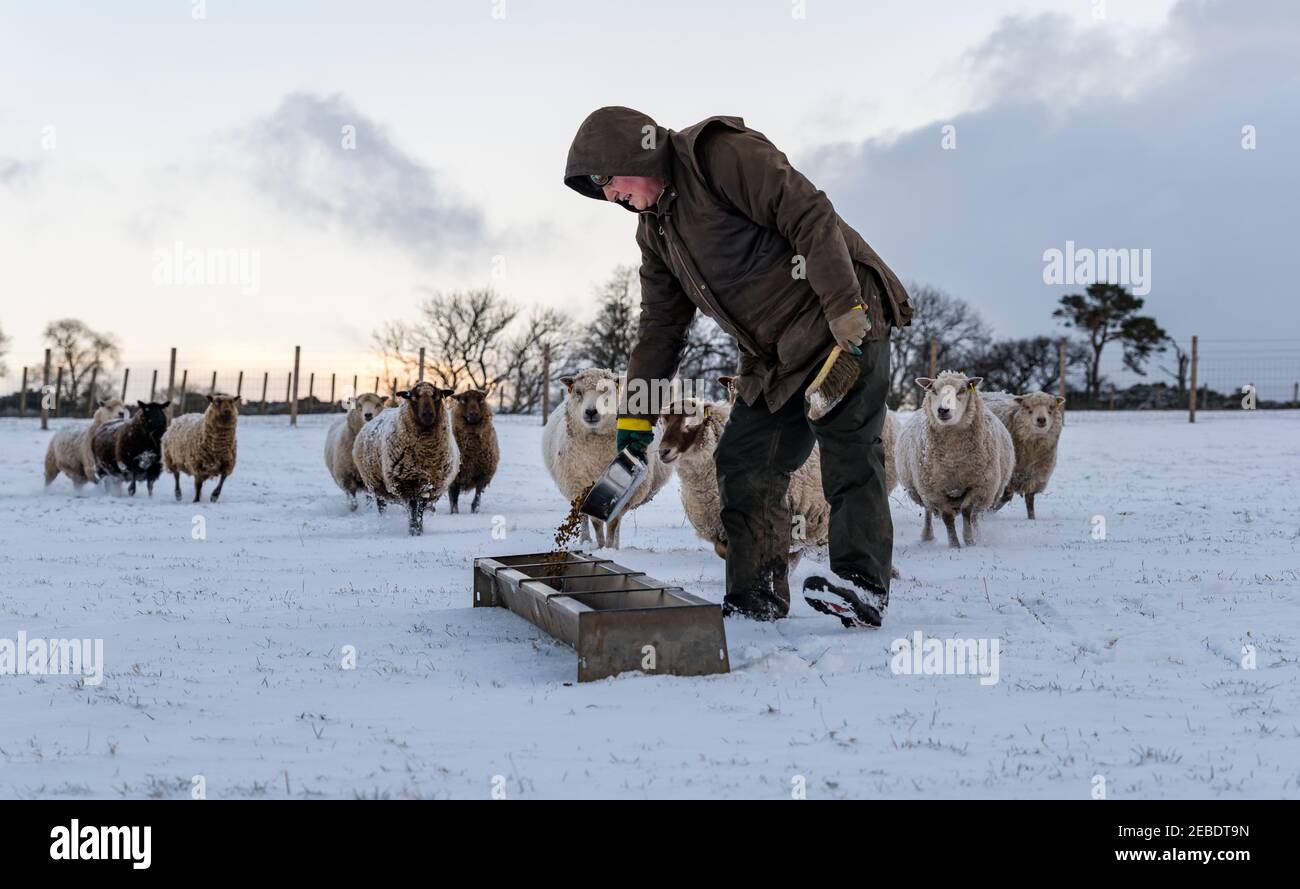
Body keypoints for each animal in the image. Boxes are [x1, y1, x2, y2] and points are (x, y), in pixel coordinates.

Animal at [353, 379, 460, 535]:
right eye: (413, 397)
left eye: (437, 397)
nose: (428, 415)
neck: (426, 452)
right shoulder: (407, 482)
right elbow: (413, 507)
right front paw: (413, 530)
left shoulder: (430, 485)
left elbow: (420, 509)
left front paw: (418, 529)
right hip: (376, 484)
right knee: (381, 505)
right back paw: (383, 520)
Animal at [540, 369, 670, 548]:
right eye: (578, 392)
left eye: (607, 391)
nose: (591, 412)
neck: (597, 456)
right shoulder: (581, 487)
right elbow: (595, 521)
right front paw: (600, 546)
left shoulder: (624, 499)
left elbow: (614, 522)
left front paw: (610, 547)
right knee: (582, 516)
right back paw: (585, 540)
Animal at [894, 369, 1013, 548]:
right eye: (933, 390)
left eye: (962, 390)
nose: (943, 410)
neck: (953, 458)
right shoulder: (934, 490)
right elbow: (947, 517)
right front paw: (954, 544)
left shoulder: (979, 486)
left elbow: (967, 511)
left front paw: (969, 540)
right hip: (922, 490)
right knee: (928, 512)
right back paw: (927, 536)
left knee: (974, 515)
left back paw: (977, 535)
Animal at [982, 389, 1066, 519]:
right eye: (1027, 407)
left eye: (1051, 407)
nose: (1041, 419)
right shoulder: (1009, 477)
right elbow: (1005, 497)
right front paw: (989, 512)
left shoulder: (1034, 476)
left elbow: (1029, 500)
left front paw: (1032, 518)